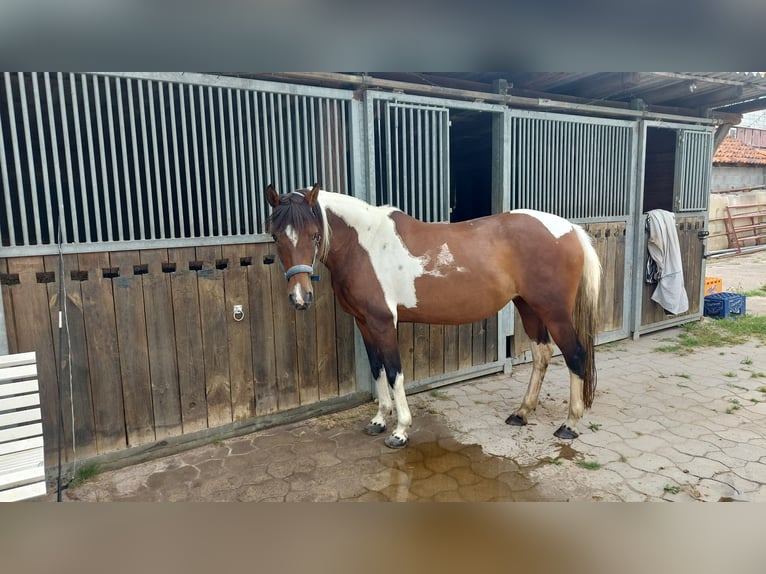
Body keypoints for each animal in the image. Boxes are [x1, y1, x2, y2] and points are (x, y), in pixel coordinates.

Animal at [266, 184, 602, 449]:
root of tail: (571, 230)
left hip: (554, 312)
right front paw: (378, 420)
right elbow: (376, 369)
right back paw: (521, 413)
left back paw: (569, 425)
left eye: (314, 235)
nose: (300, 297)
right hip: (528, 306)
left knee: (575, 355)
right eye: (275, 236)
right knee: (541, 354)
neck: (364, 245)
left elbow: (394, 372)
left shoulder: (383, 323)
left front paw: (400, 431)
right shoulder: (364, 323)